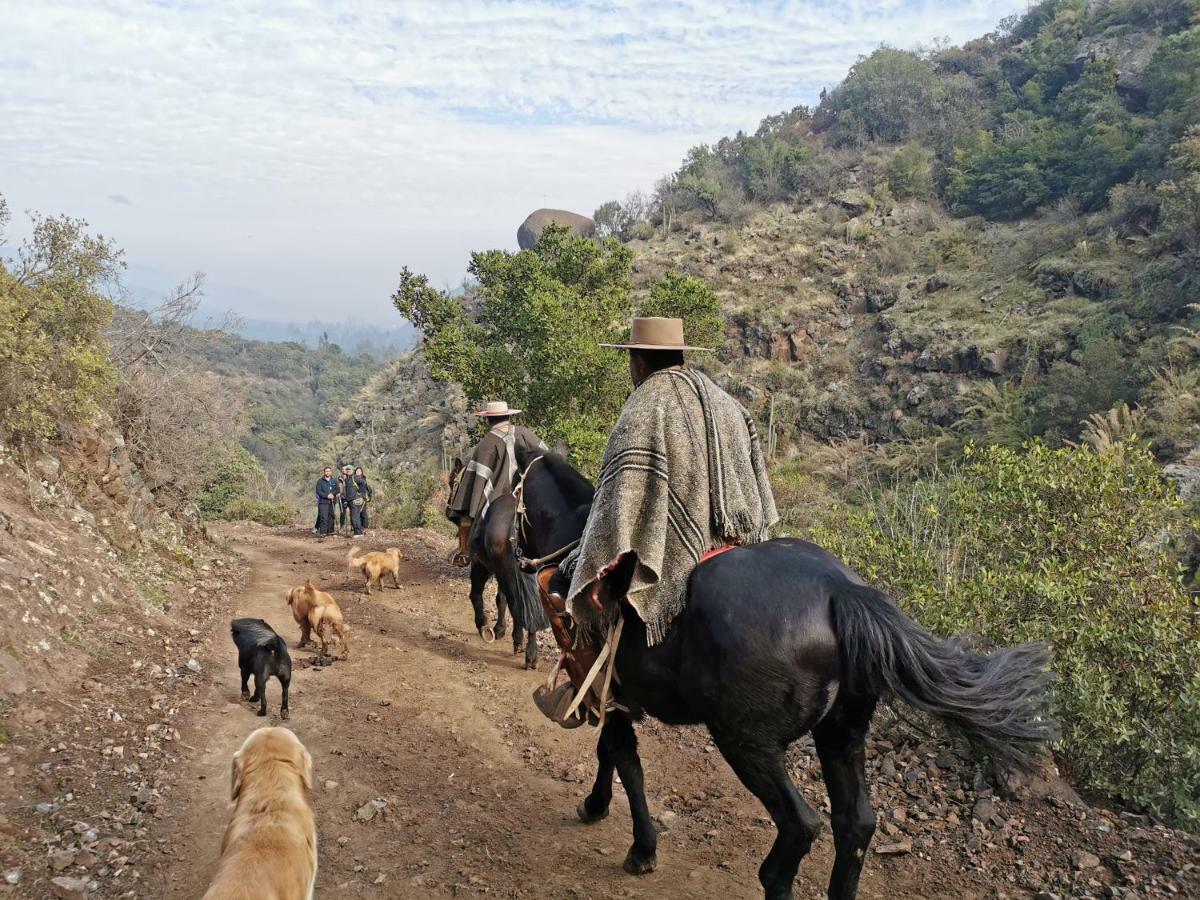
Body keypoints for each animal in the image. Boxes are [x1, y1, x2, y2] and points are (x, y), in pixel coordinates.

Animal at [446, 458, 549, 672]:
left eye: (452, 482)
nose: (448, 510)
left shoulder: (481, 566)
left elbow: (477, 595)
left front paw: (484, 624)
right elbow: (502, 599)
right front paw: (501, 629)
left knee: (517, 604)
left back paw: (523, 646)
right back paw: (530, 651)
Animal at [511, 448, 1056, 900]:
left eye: (512, 489)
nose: (518, 555)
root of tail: (841, 591)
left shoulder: (608, 687)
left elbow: (623, 759)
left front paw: (633, 841)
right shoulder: (618, 696)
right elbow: (614, 754)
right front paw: (600, 809)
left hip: (747, 742)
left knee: (800, 830)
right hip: (841, 733)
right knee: (855, 826)